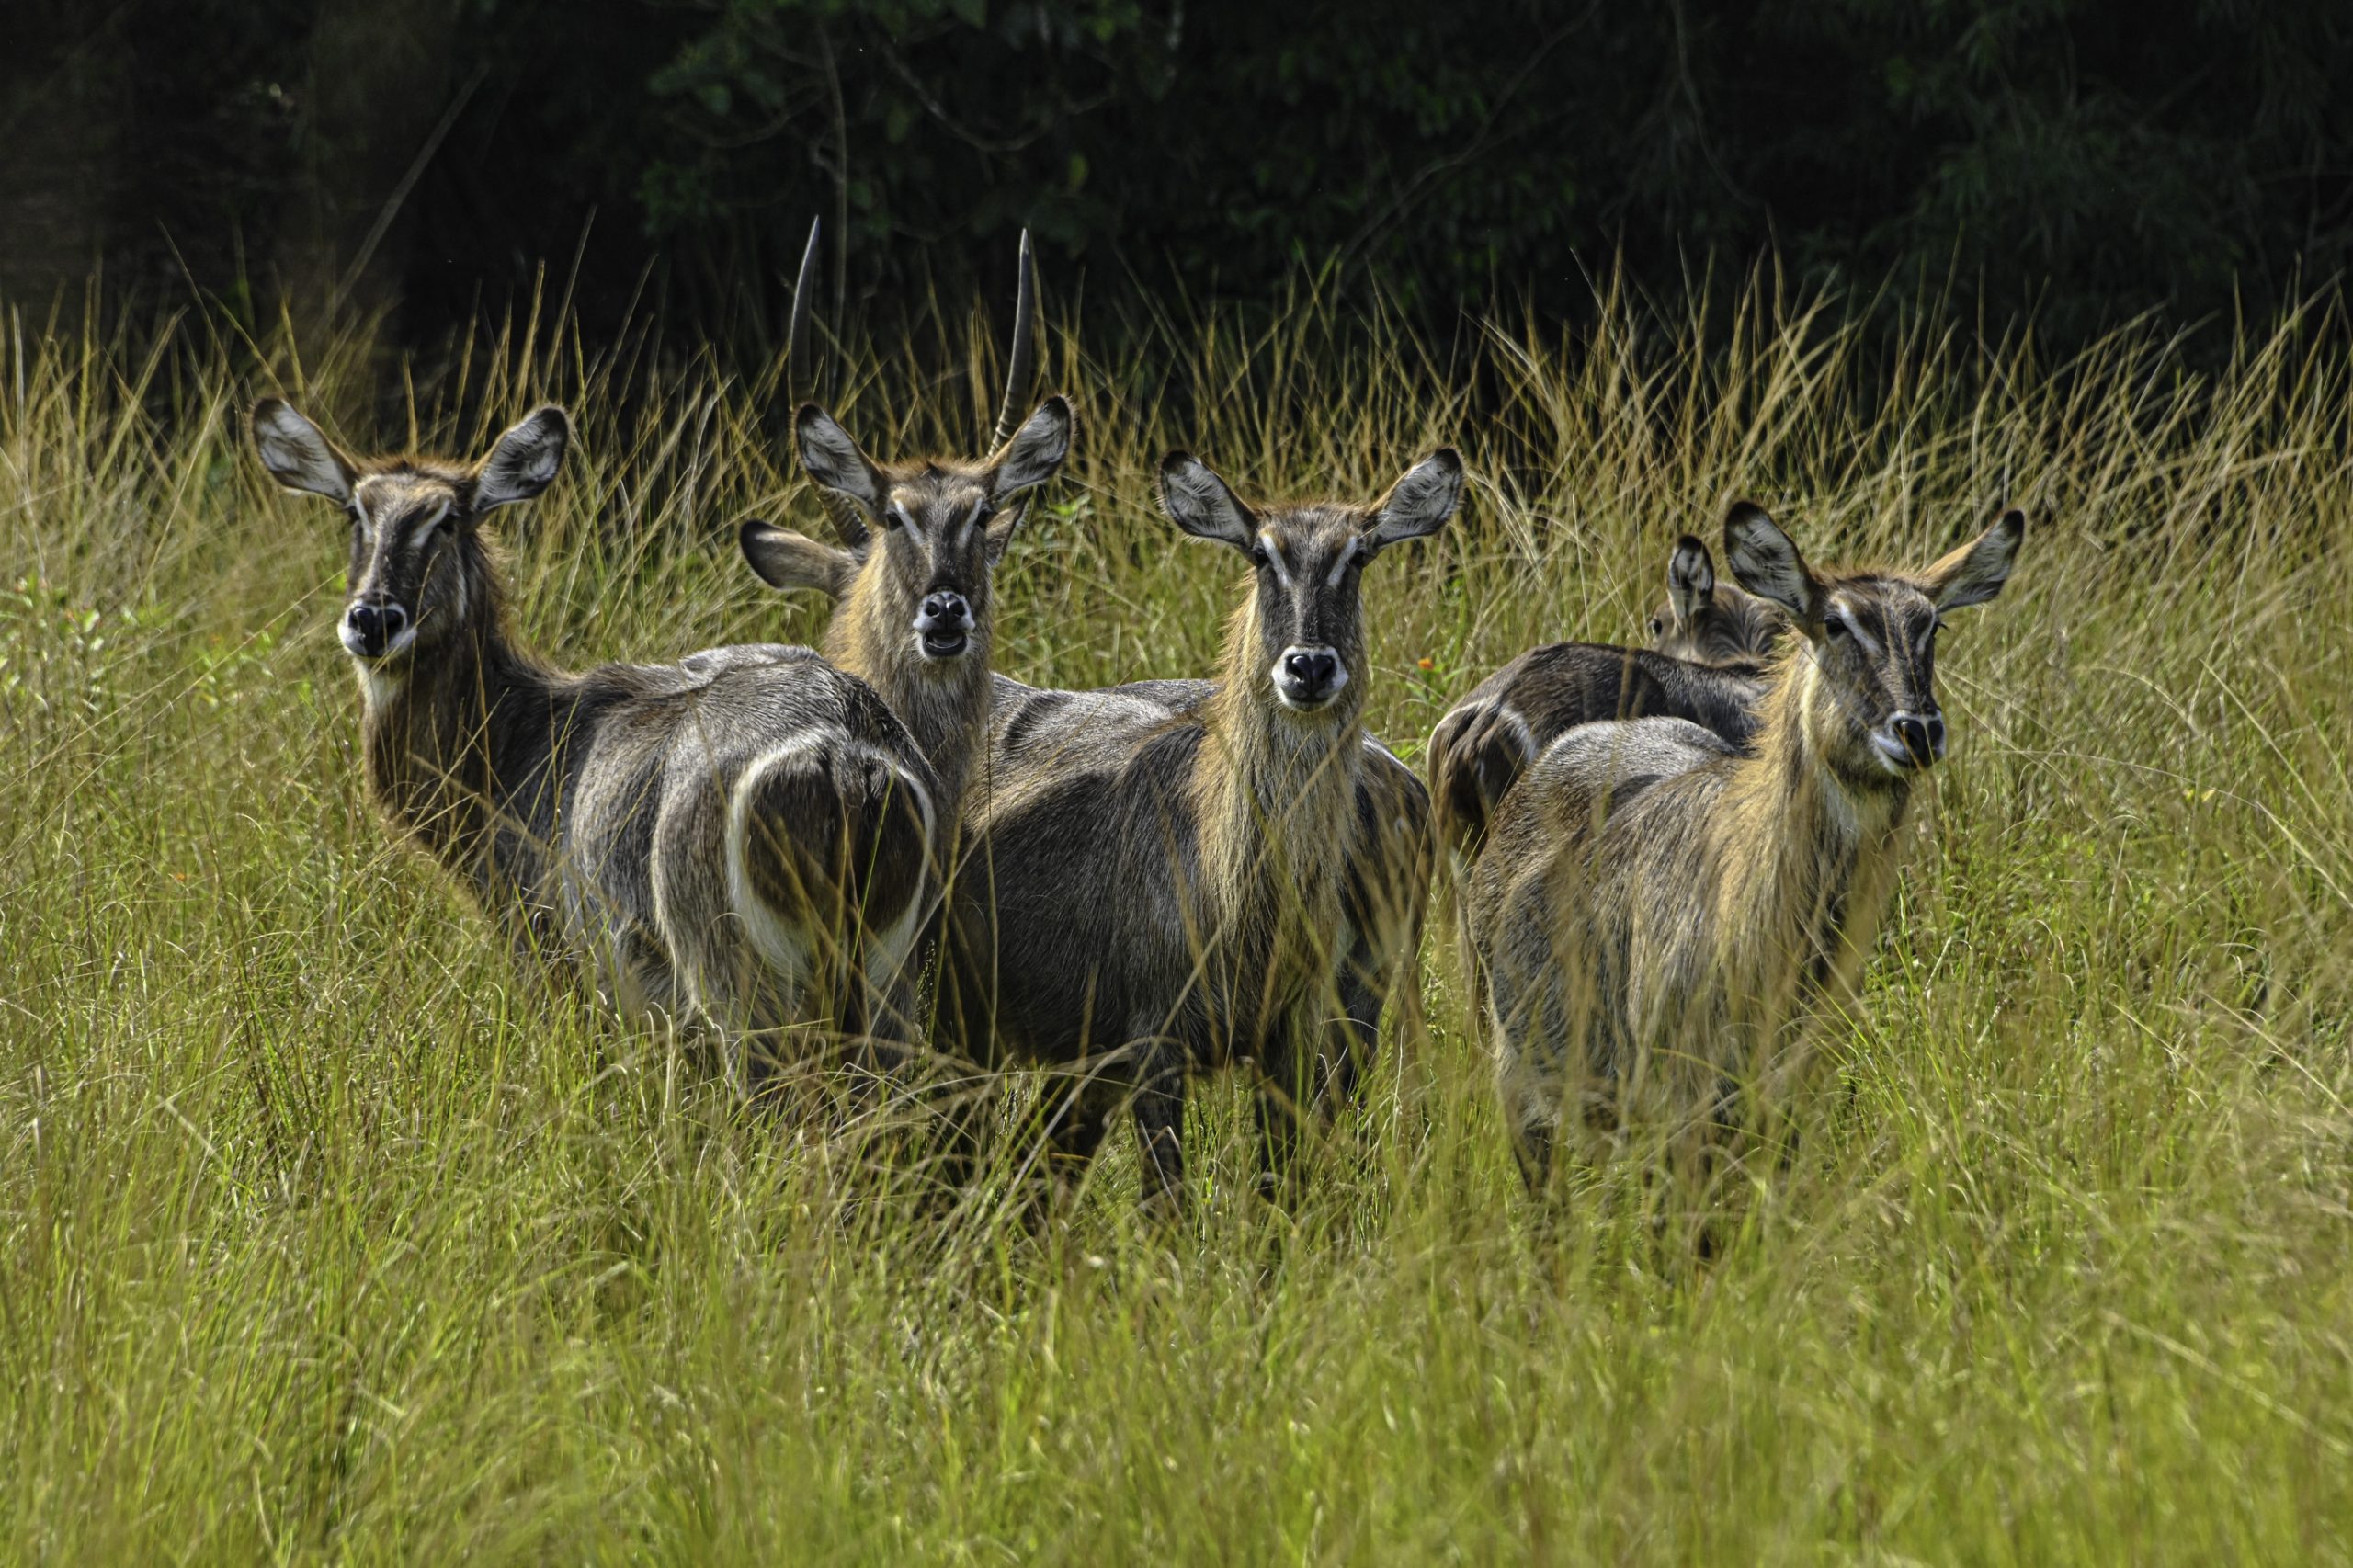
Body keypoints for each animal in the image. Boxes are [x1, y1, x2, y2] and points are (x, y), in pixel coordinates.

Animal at [255, 391, 946, 1087]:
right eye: (356, 512)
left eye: (446, 520)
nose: (373, 620)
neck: (512, 743)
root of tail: (846, 756)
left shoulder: (551, 952)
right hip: (887, 976)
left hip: (738, 980)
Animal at [931, 440, 1449, 1205]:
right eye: (1262, 554)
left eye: (1358, 555)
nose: (1309, 666)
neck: (1235, 900)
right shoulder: (1154, 1044)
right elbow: (1168, 1204)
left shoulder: (1289, 1041)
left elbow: (1279, 1194)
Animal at [1468, 496, 2023, 1187]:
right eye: (1834, 624)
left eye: (1932, 626)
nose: (1917, 730)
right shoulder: (1682, 1108)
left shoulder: (1790, 1105)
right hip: (1525, 1087)